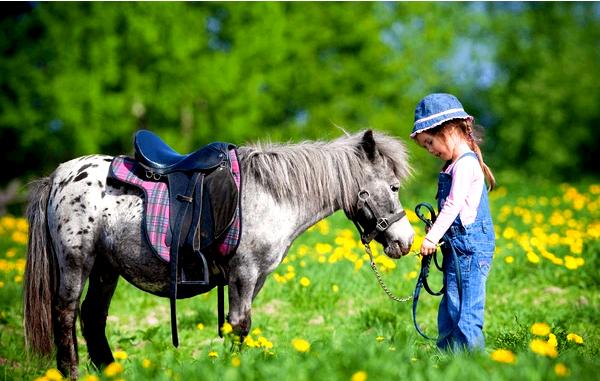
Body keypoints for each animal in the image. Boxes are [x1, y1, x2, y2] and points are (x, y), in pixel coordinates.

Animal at [22, 128, 412, 378]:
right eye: (393, 187)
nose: (406, 241)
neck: (271, 195)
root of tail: (59, 176)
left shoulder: (255, 279)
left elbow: (235, 324)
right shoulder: (244, 273)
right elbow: (240, 324)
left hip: (106, 268)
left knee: (93, 317)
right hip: (77, 263)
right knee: (66, 314)